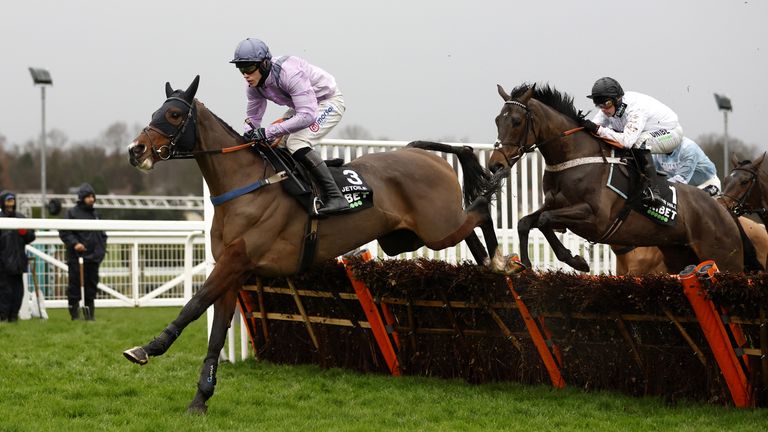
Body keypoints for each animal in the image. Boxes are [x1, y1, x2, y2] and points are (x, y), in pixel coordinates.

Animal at [123, 76, 508, 414]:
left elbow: (193, 304)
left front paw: (147, 348)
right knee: (470, 226)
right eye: (156, 111)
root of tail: (424, 153)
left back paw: (500, 260)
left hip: (437, 229)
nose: (135, 150)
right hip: (409, 237)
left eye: (174, 114)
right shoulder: (232, 272)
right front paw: (201, 398)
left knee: (481, 209)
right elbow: (216, 333)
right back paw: (487, 263)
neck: (246, 185)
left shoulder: (235, 262)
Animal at [486, 82, 744, 274]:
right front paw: (528, 264)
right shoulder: (555, 205)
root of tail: (724, 211)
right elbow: (527, 222)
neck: (575, 157)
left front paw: (576, 260)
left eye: (516, 121)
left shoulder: (595, 218)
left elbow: (544, 220)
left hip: (723, 257)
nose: (495, 164)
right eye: (498, 120)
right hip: (678, 254)